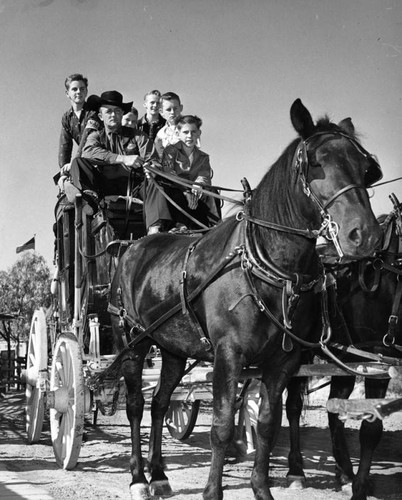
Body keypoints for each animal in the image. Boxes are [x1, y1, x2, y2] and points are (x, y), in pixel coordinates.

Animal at [103, 98, 380, 500]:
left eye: (364, 167)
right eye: (315, 162)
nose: (366, 235)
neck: (266, 266)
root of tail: (132, 246)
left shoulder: (282, 363)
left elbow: (266, 424)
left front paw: (262, 489)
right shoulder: (228, 355)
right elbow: (220, 426)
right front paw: (212, 491)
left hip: (172, 348)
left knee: (159, 405)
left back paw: (158, 474)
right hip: (132, 340)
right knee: (137, 405)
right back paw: (139, 476)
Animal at [286, 196, 402, 500]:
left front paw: (356, 480)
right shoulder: (378, 363)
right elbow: (371, 429)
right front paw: (359, 488)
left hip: (343, 361)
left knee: (334, 410)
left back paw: (344, 472)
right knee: (293, 407)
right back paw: (296, 471)